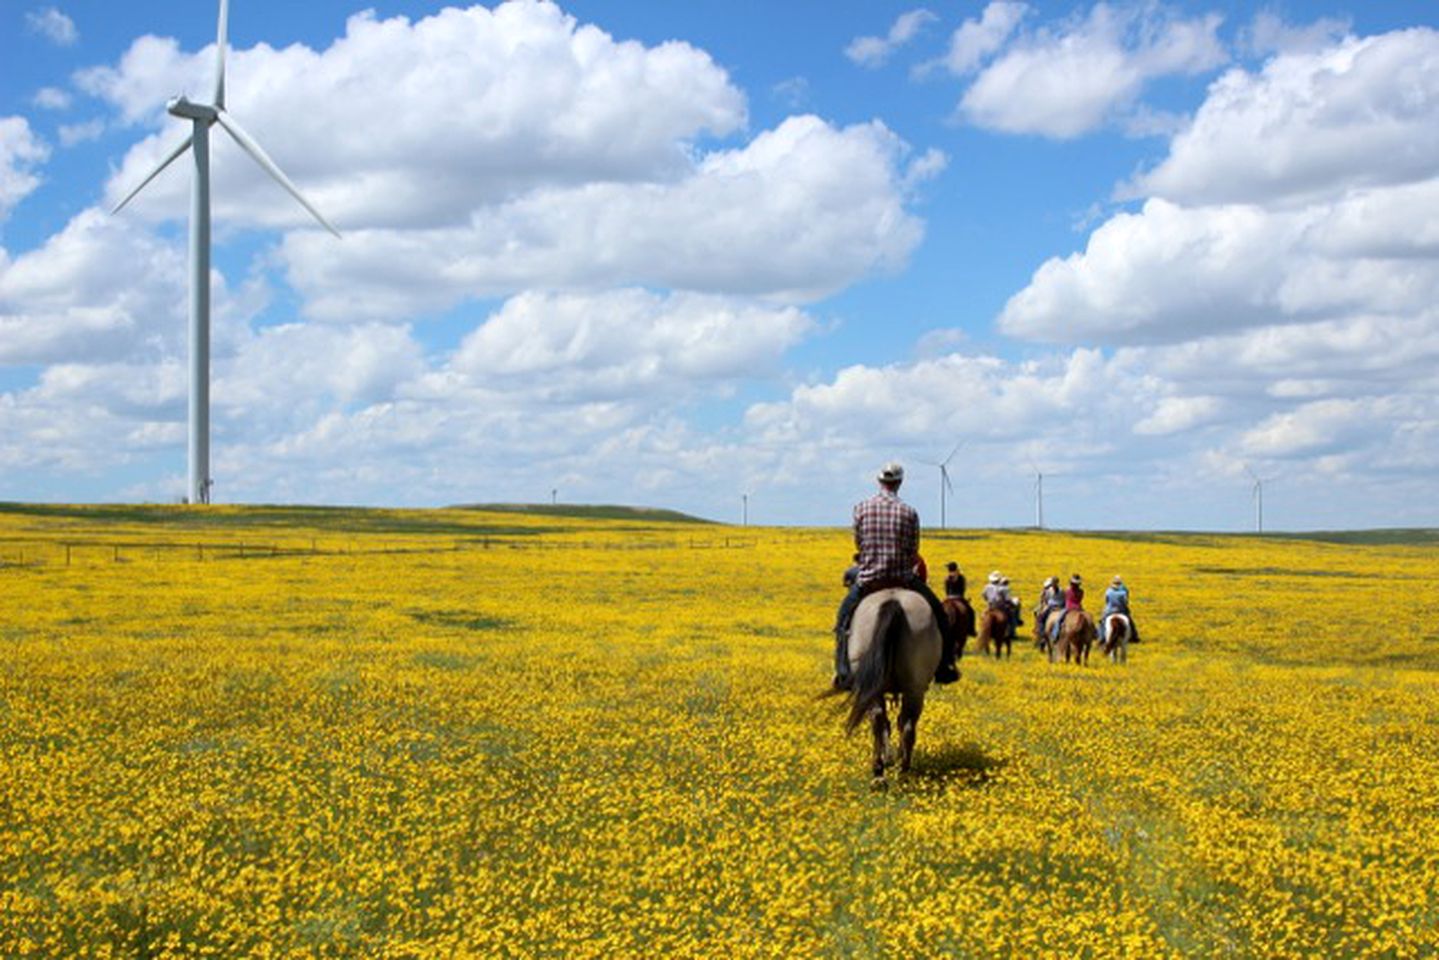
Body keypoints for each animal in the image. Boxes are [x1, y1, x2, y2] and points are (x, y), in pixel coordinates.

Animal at [834, 590, 943, 782]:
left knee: (886, 722)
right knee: (904, 724)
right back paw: (897, 773)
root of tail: (893, 601)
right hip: (914, 688)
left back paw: (884, 771)